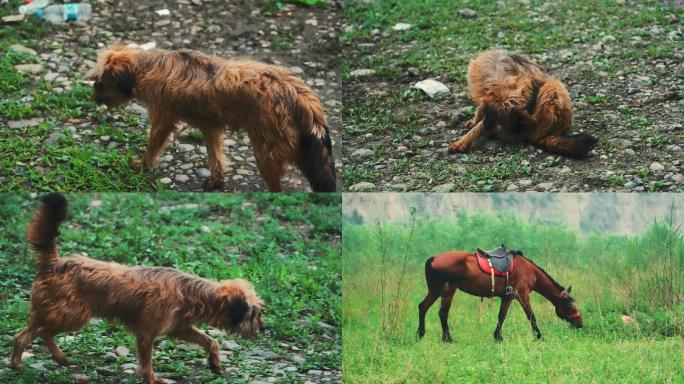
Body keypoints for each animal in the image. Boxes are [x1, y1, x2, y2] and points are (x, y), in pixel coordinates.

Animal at [12, 195, 268, 384]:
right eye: (254, 314)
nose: (263, 329)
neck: (193, 294)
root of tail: (54, 263)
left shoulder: (179, 328)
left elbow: (210, 341)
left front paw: (215, 364)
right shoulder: (147, 333)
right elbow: (146, 362)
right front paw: (152, 379)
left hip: (53, 313)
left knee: (28, 334)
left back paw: (33, 361)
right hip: (72, 315)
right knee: (38, 333)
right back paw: (38, 360)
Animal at [85, 45, 336, 192]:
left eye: (100, 82)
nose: (93, 97)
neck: (148, 66)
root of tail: (304, 101)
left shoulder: (163, 119)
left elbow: (153, 145)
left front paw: (143, 165)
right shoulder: (211, 127)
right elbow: (215, 157)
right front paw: (216, 180)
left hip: (266, 153)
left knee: (278, 189)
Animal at [416, 249, 584, 342]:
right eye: (569, 304)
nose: (580, 323)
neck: (529, 270)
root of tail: (433, 258)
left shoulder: (507, 296)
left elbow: (501, 316)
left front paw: (498, 336)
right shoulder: (522, 295)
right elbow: (531, 316)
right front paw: (539, 336)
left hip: (435, 290)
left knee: (423, 307)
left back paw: (421, 334)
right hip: (448, 289)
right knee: (443, 313)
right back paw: (448, 339)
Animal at [446, 49, 596, 158]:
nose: (516, 124)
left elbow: (482, 123)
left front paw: (463, 141)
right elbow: (481, 113)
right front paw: (473, 122)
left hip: (551, 87)